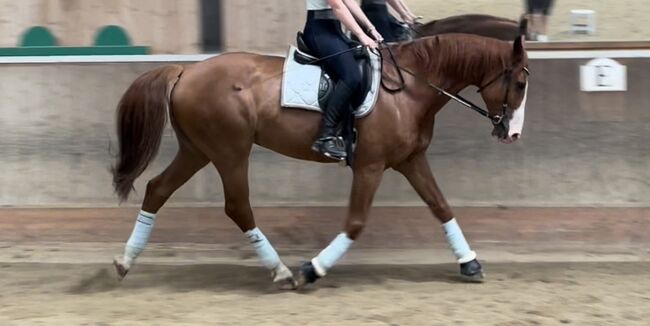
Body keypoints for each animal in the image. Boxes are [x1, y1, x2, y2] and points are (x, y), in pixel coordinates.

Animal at [111, 33, 528, 288]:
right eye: (521, 83)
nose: (512, 134)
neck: (409, 87)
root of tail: (187, 69)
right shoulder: (370, 166)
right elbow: (356, 223)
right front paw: (312, 269)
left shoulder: (411, 159)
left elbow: (441, 206)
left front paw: (470, 263)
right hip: (230, 151)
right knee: (237, 207)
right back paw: (281, 272)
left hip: (197, 149)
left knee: (157, 189)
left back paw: (125, 261)